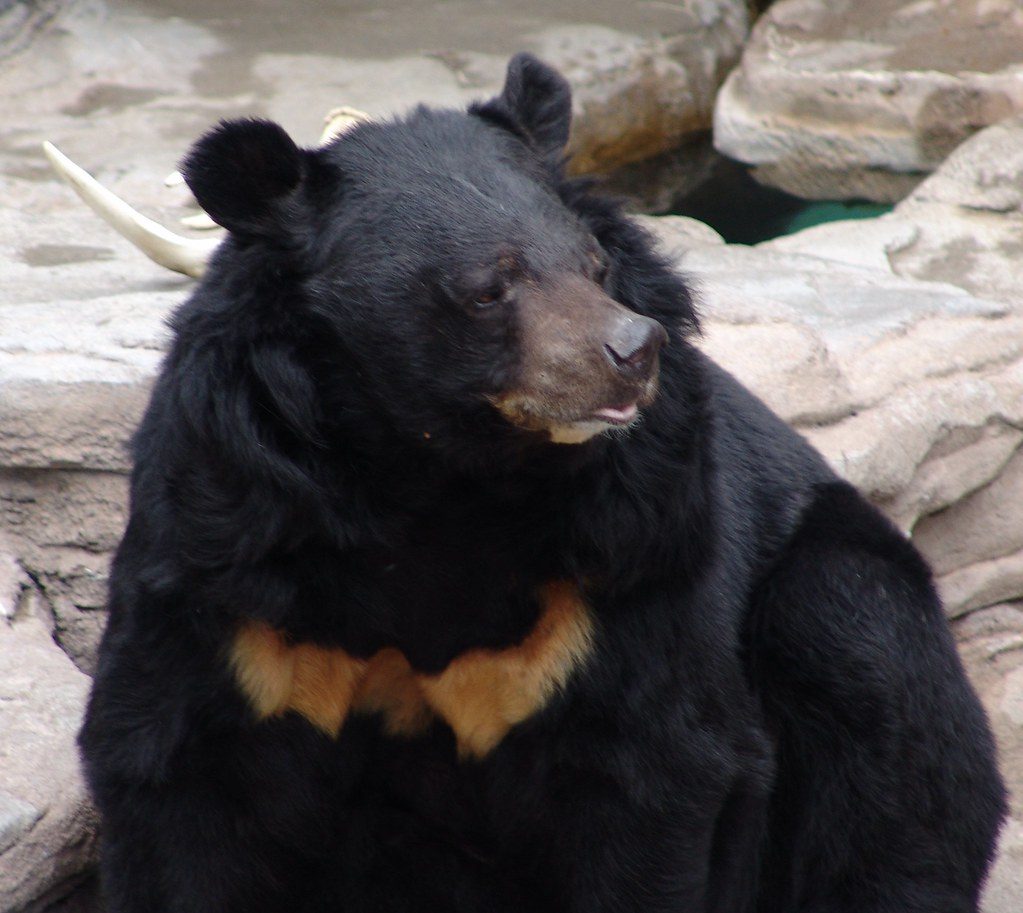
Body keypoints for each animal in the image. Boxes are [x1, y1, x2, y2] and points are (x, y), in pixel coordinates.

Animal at [79, 53, 1006, 913]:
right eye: (489, 286)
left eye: (593, 265)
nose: (632, 351)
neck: (430, 469)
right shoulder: (230, 545)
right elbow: (177, 779)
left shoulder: (629, 550)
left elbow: (653, 759)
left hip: (843, 592)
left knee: (883, 753)